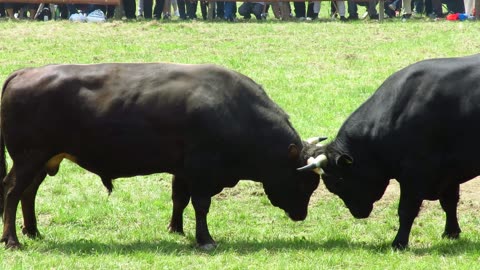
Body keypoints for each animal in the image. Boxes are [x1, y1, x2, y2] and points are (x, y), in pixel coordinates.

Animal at [1, 63, 322, 249]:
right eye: (304, 182)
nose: (301, 215)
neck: (236, 110)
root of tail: (23, 73)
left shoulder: (182, 170)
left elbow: (179, 198)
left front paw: (176, 228)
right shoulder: (202, 171)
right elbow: (201, 205)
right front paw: (204, 239)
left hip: (42, 160)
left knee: (27, 193)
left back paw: (32, 231)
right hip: (29, 159)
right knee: (12, 192)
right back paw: (13, 240)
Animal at [300, 53, 480, 250]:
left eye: (338, 181)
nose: (358, 213)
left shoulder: (415, 174)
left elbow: (407, 210)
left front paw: (399, 243)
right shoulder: (449, 172)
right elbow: (449, 202)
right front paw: (451, 233)